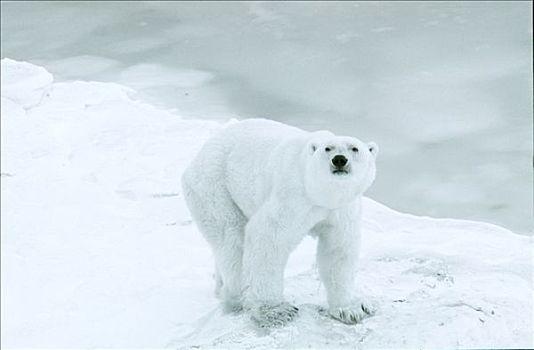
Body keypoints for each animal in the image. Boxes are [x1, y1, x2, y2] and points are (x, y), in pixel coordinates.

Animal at [183, 119, 382, 326]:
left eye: (354, 148)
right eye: (328, 148)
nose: (340, 160)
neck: (320, 196)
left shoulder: (342, 209)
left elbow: (338, 250)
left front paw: (351, 309)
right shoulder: (292, 196)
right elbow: (268, 238)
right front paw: (276, 311)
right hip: (214, 187)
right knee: (231, 239)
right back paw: (236, 296)